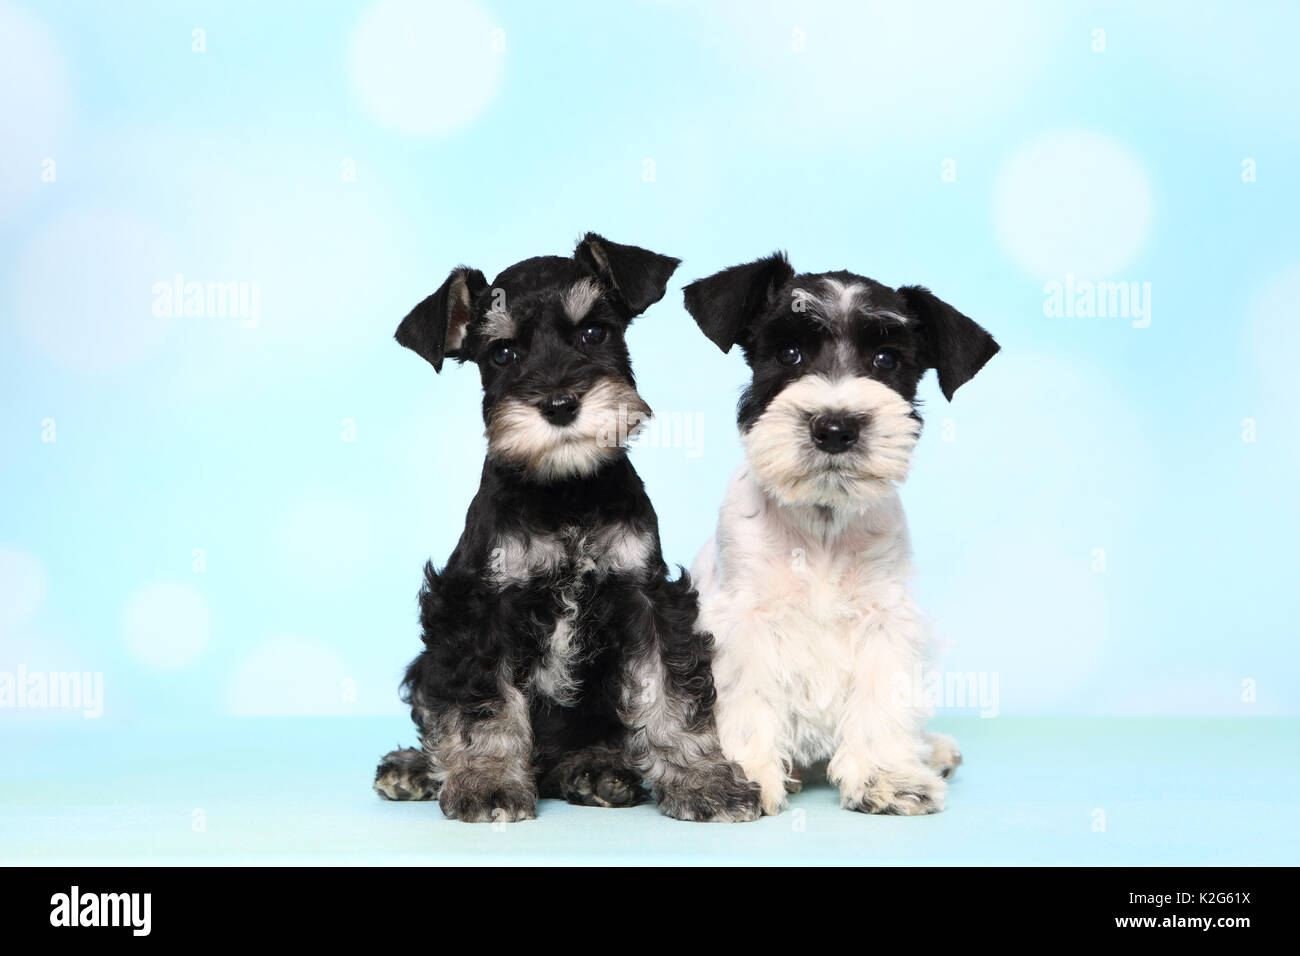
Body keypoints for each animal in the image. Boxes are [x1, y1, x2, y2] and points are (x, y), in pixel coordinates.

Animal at [377, 235, 759, 827]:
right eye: (502, 353)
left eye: (593, 333)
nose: (560, 405)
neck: (566, 493)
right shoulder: (477, 608)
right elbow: (483, 706)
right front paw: (489, 782)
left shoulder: (647, 599)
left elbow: (669, 694)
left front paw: (705, 783)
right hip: (427, 664)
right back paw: (414, 769)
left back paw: (597, 770)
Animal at [681, 252, 993, 816]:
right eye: (789, 352)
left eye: (887, 360)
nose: (834, 428)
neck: (822, 523)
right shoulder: (742, 623)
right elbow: (747, 702)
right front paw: (748, 776)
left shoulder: (884, 620)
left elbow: (881, 701)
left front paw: (887, 777)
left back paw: (931, 750)